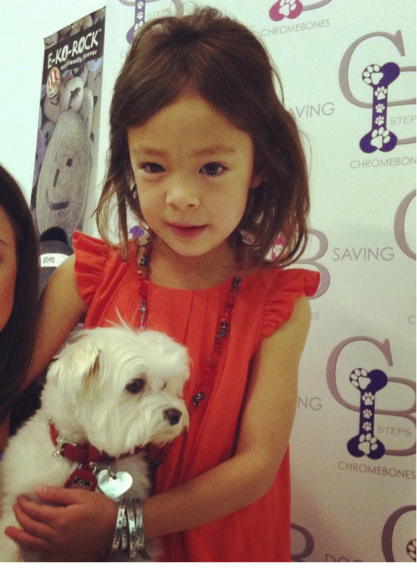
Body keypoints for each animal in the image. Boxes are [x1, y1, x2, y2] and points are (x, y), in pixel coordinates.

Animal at [0, 325, 190, 563]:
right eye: (135, 384)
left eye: (164, 384)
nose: (176, 415)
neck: (85, 457)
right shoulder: (17, 509)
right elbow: (9, 547)